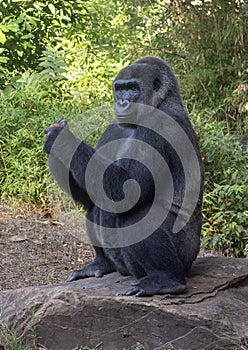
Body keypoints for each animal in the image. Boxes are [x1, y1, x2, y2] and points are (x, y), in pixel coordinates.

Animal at [44, 56, 203, 296]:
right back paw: (101, 264)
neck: (160, 102)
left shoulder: (160, 124)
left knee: (137, 216)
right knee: (96, 206)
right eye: (119, 88)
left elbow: (129, 191)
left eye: (133, 88)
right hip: (123, 267)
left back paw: (166, 280)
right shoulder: (113, 126)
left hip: (186, 258)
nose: (122, 103)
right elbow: (93, 191)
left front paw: (62, 138)